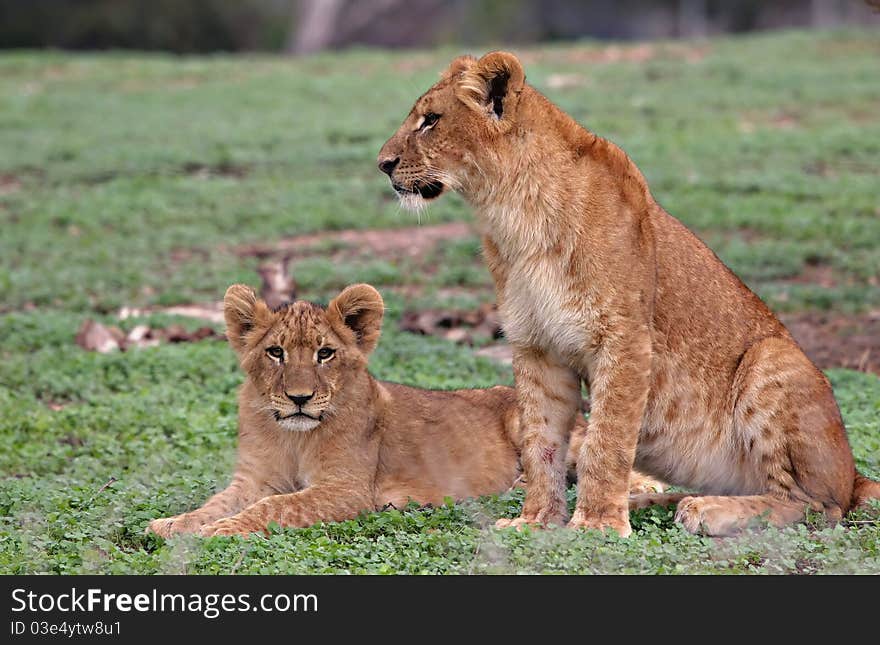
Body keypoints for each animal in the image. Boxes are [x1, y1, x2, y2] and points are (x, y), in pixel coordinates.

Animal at [148, 284, 664, 540]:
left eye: (324, 354)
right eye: (275, 353)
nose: (298, 398)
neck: (293, 434)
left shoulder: (348, 489)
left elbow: (276, 506)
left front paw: (222, 531)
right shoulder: (253, 479)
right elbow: (217, 502)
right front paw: (174, 524)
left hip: (536, 421)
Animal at [378, 50, 880, 536]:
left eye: (430, 120)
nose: (382, 164)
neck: (512, 213)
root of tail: (853, 474)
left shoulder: (625, 340)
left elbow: (607, 439)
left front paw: (597, 524)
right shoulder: (536, 347)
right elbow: (541, 442)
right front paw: (536, 520)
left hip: (772, 358)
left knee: (816, 505)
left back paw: (709, 512)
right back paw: (658, 503)